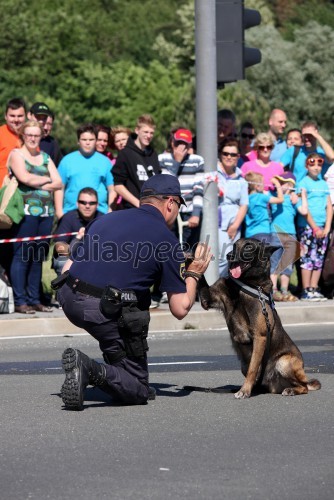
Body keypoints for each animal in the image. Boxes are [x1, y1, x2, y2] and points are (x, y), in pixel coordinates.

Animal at [198, 237, 320, 398]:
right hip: (244, 365)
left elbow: (253, 368)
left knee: (304, 386)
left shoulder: (260, 337)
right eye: (235, 245)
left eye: (249, 247)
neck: (247, 284)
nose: (229, 255)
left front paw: (244, 391)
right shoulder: (206, 299)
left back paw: (290, 390)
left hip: (284, 362)